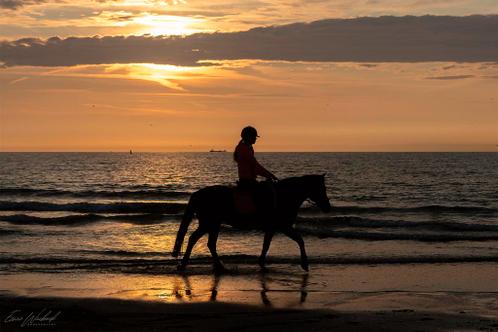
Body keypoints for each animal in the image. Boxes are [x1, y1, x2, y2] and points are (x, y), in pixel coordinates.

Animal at [171, 175, 330, 272]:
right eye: (322, 188)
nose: (327, 207)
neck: (284, 196)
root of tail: (198, 194)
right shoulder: (283, 226)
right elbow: (300, 240)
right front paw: (305, 264)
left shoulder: (272, 228)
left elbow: (266, 245)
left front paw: (261, 263)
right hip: (209, 223)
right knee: (194, 239)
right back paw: (185, 265)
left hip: (213, 224)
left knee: (210, 243)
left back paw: (218, 266)